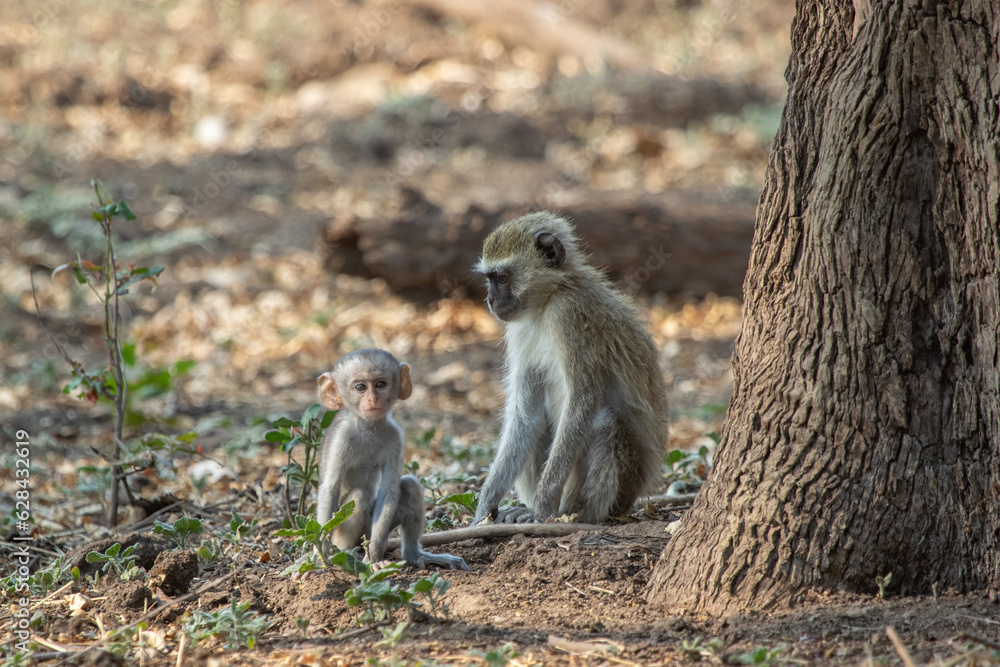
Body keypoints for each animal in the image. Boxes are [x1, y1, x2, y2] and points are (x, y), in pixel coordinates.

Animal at [315, 348, 469, 571]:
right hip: (341, 532)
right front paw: (318, 558)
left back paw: (412, 555)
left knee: (410, 485)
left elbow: (390, 489)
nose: (373, 400)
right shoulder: (341, 439)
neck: (369, 427)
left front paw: (376, 557)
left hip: (370, 531)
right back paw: (346, 553)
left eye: (381, 384)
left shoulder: (396, 436)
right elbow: (330, 490)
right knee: (359, 496)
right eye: (360, 387)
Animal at [470, 212, 670, 525]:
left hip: (624, 488)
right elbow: (525, 415)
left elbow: (582, 400)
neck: (546, 302)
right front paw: (484, 507)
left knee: (605, 422)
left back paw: (573, 513)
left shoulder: (569, 315)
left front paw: (541, 509)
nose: (490, 300)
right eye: (489, 279)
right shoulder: (519, 330)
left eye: (501, 277)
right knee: (537, 424)